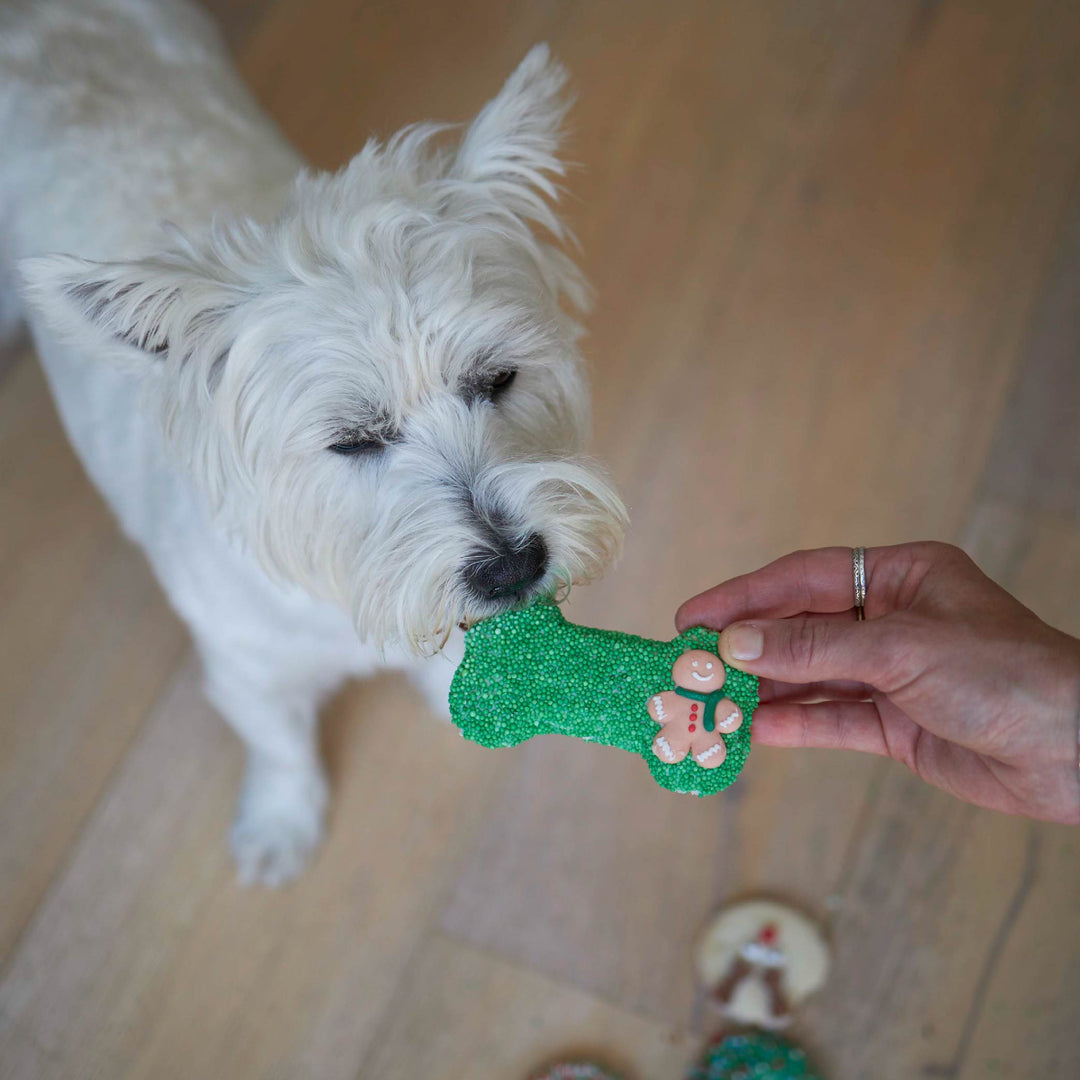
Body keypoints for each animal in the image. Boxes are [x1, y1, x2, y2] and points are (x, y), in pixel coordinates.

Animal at [2, 2, 626, 885]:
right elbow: (281, 747)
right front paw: (279, 825)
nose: (513, 568)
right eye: (354, 440)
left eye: (498, 377)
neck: (345, 579)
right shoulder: (249, 669)